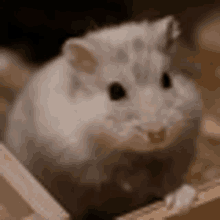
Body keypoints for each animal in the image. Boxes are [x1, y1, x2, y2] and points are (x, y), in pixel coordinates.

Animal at [4, 15, 202, 218]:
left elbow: (167, 178)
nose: (157, 134)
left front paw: (181, 201)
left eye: (167, 80)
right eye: (115, 91)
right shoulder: (80, 165)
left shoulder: (180, 148)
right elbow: (119, 176)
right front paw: (137, 179)